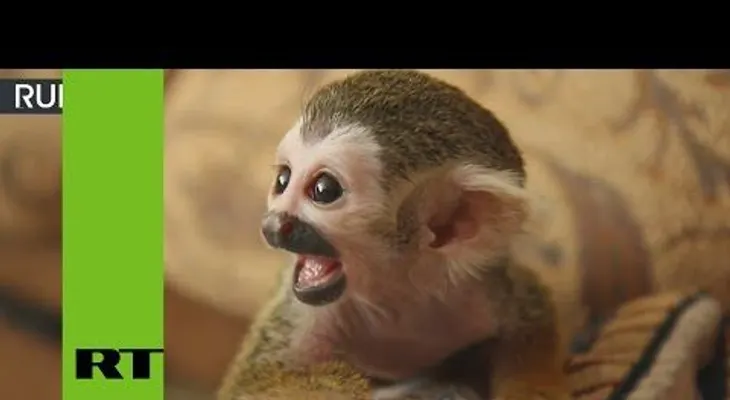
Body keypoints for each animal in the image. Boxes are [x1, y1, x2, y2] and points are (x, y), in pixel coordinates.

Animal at [218, 70, 574, 400]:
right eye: (283, 180)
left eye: (323, 190)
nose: (273, 225)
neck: (397, 290)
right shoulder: (305, 312)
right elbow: (252, 385)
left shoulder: (481, 284)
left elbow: (531, 313)